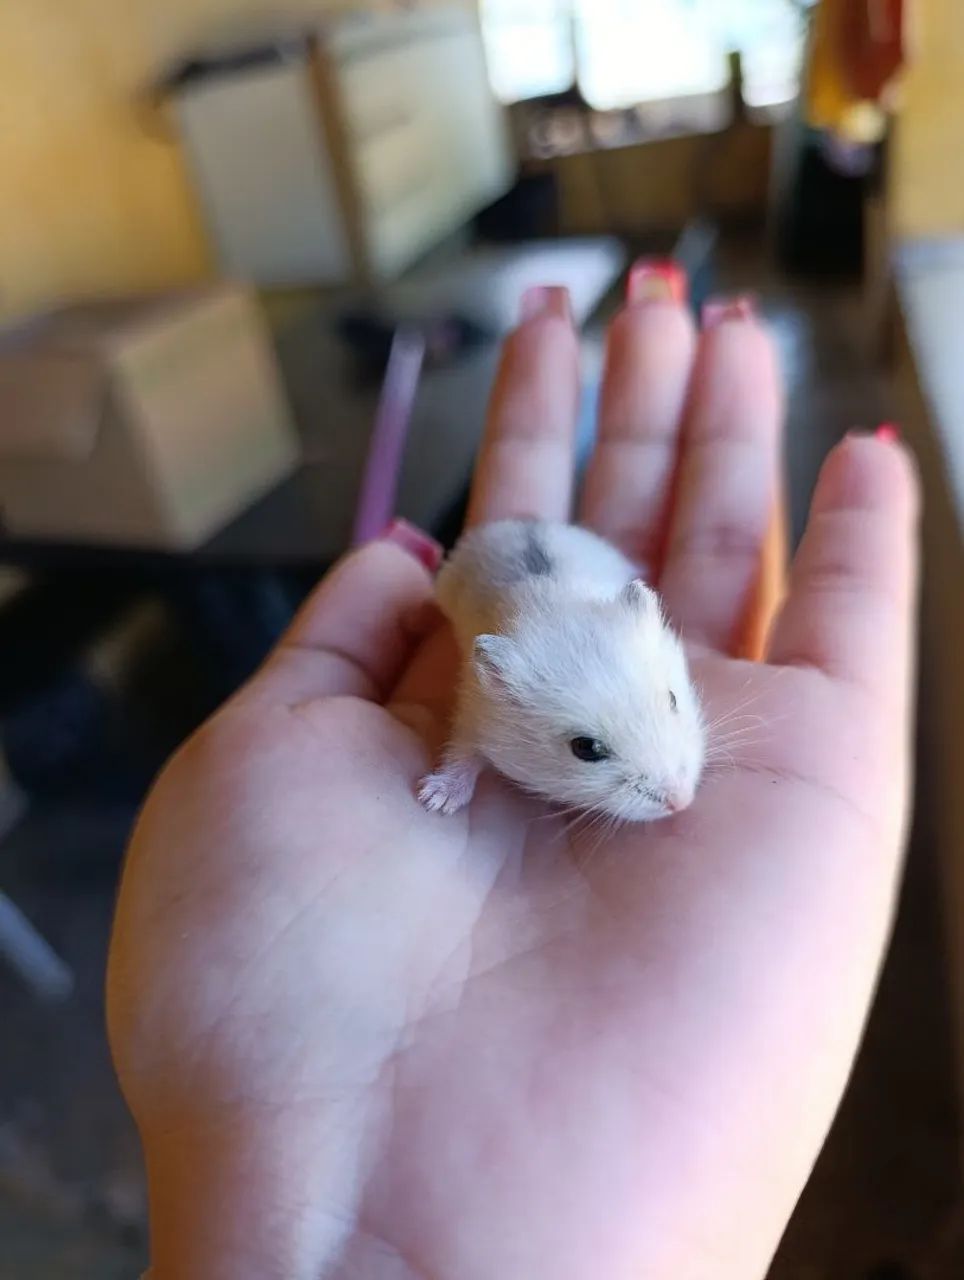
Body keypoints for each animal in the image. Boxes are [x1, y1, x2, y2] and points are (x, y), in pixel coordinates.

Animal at [417, 519, 705, 820]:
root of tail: (519, 521)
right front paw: (433, 801)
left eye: (672, 699)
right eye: (585, 748)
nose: (682, 802)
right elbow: (463, 750)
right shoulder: (474, 712)